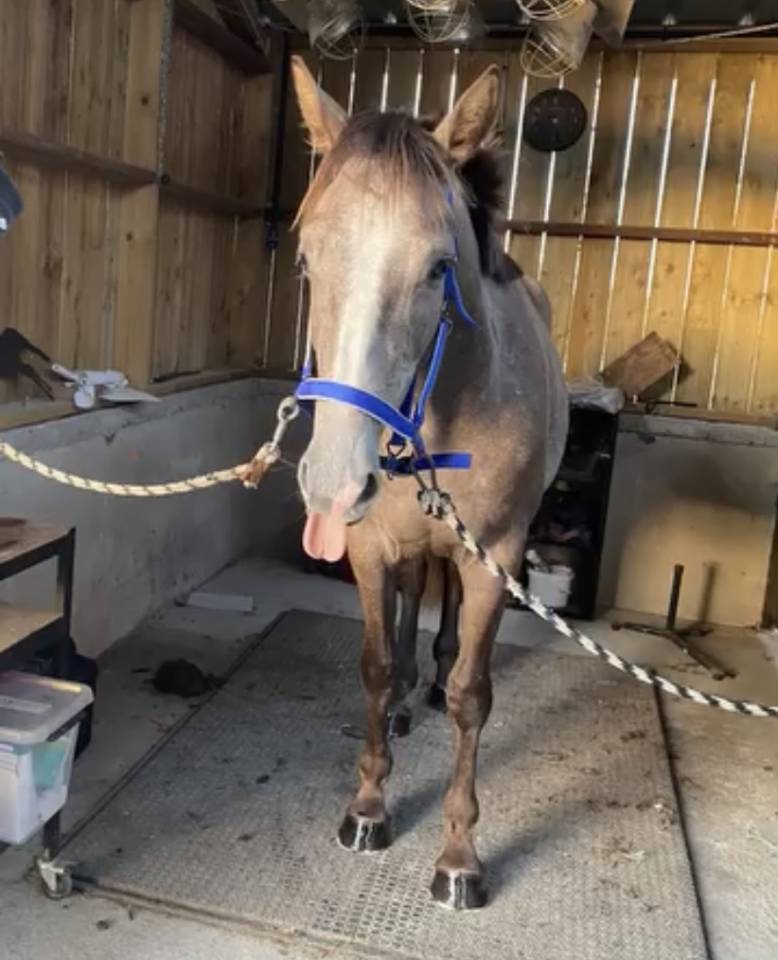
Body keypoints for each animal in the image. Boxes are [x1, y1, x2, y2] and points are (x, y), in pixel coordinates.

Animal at [289, 56, 569, 910]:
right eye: (306, 260)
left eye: (440, 269)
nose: (332, 481)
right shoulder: (370, 547)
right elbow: (377, 668)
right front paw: (368, 808)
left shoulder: (494, 558)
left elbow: (476, 697)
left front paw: (458, 857)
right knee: (417, 600)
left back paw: (436, 683)